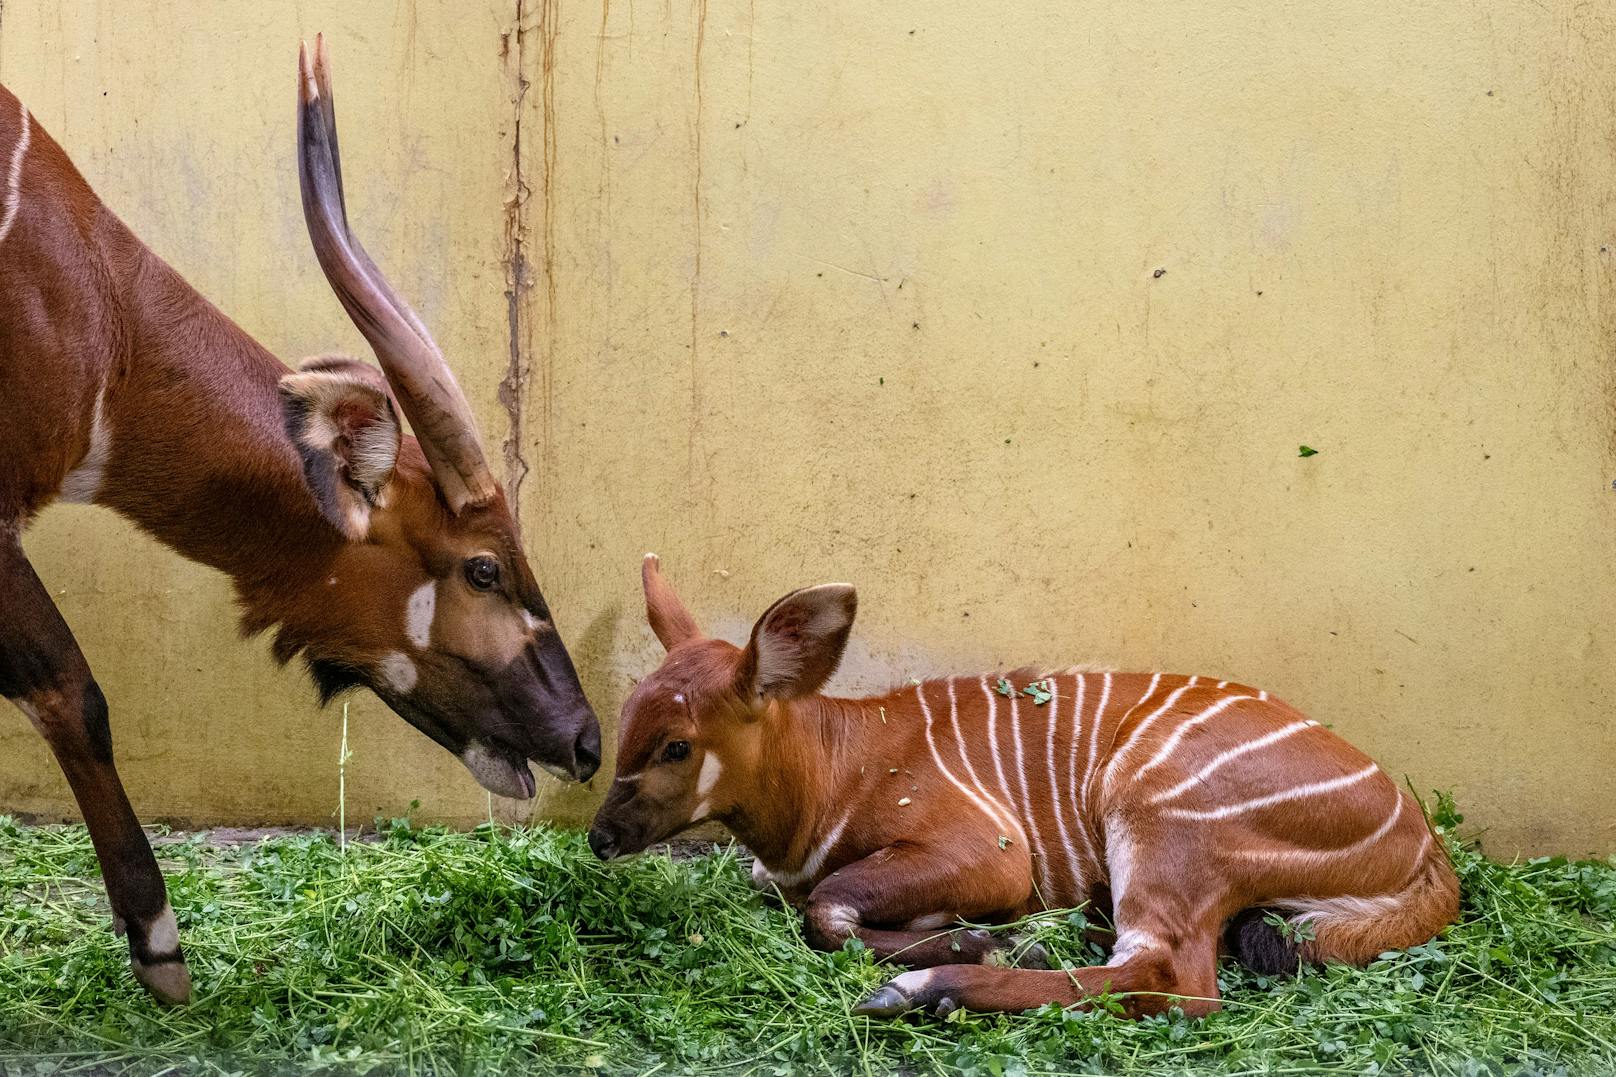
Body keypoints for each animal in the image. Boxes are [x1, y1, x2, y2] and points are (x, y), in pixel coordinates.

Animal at [588, 556, 1460, 1022]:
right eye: (624, 718)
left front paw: (993, 942)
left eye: (676, 743)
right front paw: (999, 935)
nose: (600, 835)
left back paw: (922, 987)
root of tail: (1422, 849)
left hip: (1157, 816)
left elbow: (827, 909)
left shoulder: (991, 852)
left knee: (1174, 978)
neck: (836, 764)